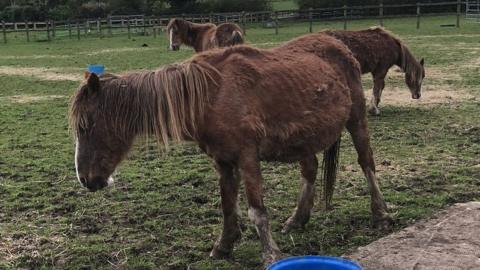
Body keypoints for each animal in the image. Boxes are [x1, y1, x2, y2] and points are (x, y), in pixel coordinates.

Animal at [69, 33, 392, 268]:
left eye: (87, 125)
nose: (86, 179)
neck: (210, 95)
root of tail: (339, 45)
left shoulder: (247, 157)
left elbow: (256, 210)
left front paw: (270, 254)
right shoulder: (222, 161)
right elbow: (227, 205)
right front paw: (223, 246)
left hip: (356, 119)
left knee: (366, 162)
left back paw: (381, 213)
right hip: (305, 139)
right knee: (310, 170)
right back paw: (297, 219)